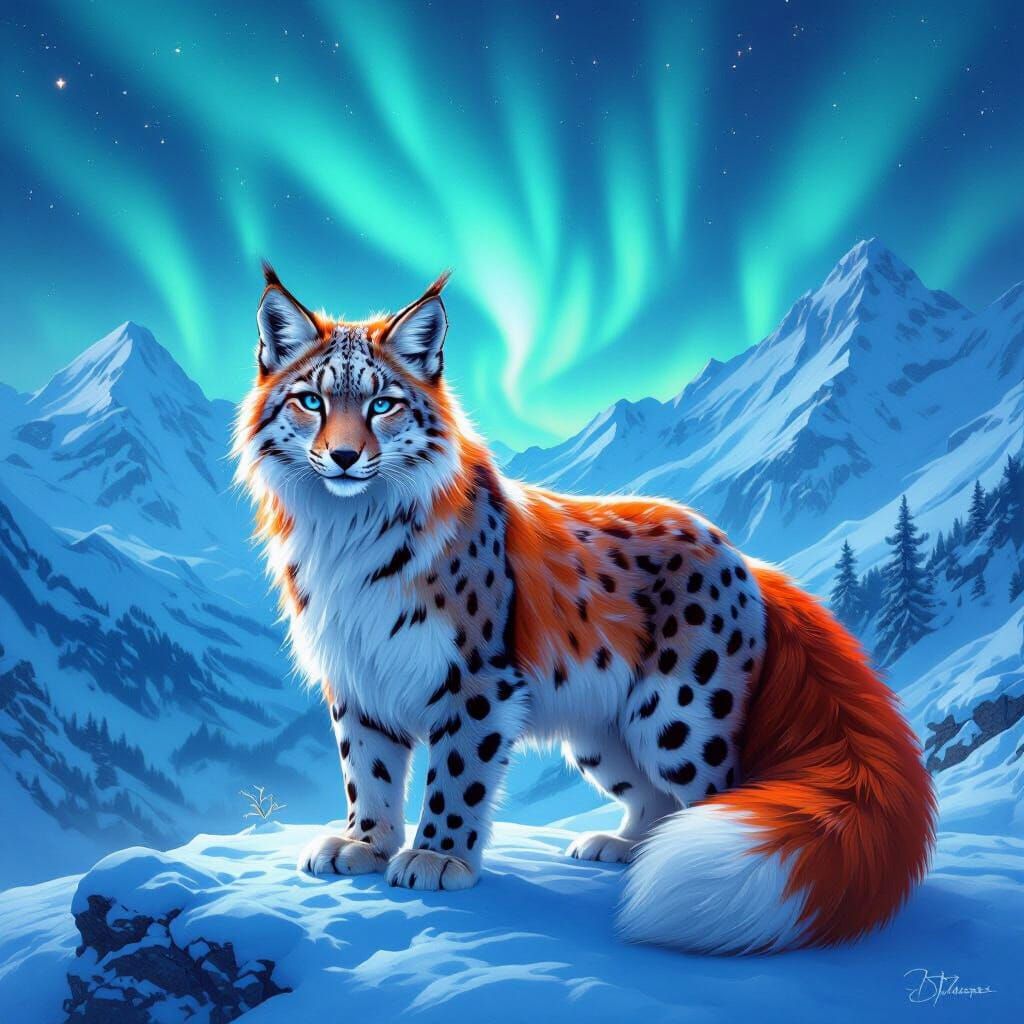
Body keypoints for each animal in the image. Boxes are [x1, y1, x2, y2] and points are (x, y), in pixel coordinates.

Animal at [234, 266, 936, 954]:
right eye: (311, 401)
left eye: (382, 404)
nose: (345, 456)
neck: (345, 538)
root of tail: (742, 556)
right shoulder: (357, 677)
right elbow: (368, 769)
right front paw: (364, 844)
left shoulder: (476, 682)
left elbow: (457, 773)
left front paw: (438, 858)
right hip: (603, 734)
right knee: (655, 798)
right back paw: (625, 848)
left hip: (679, 722)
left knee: (723, 793)